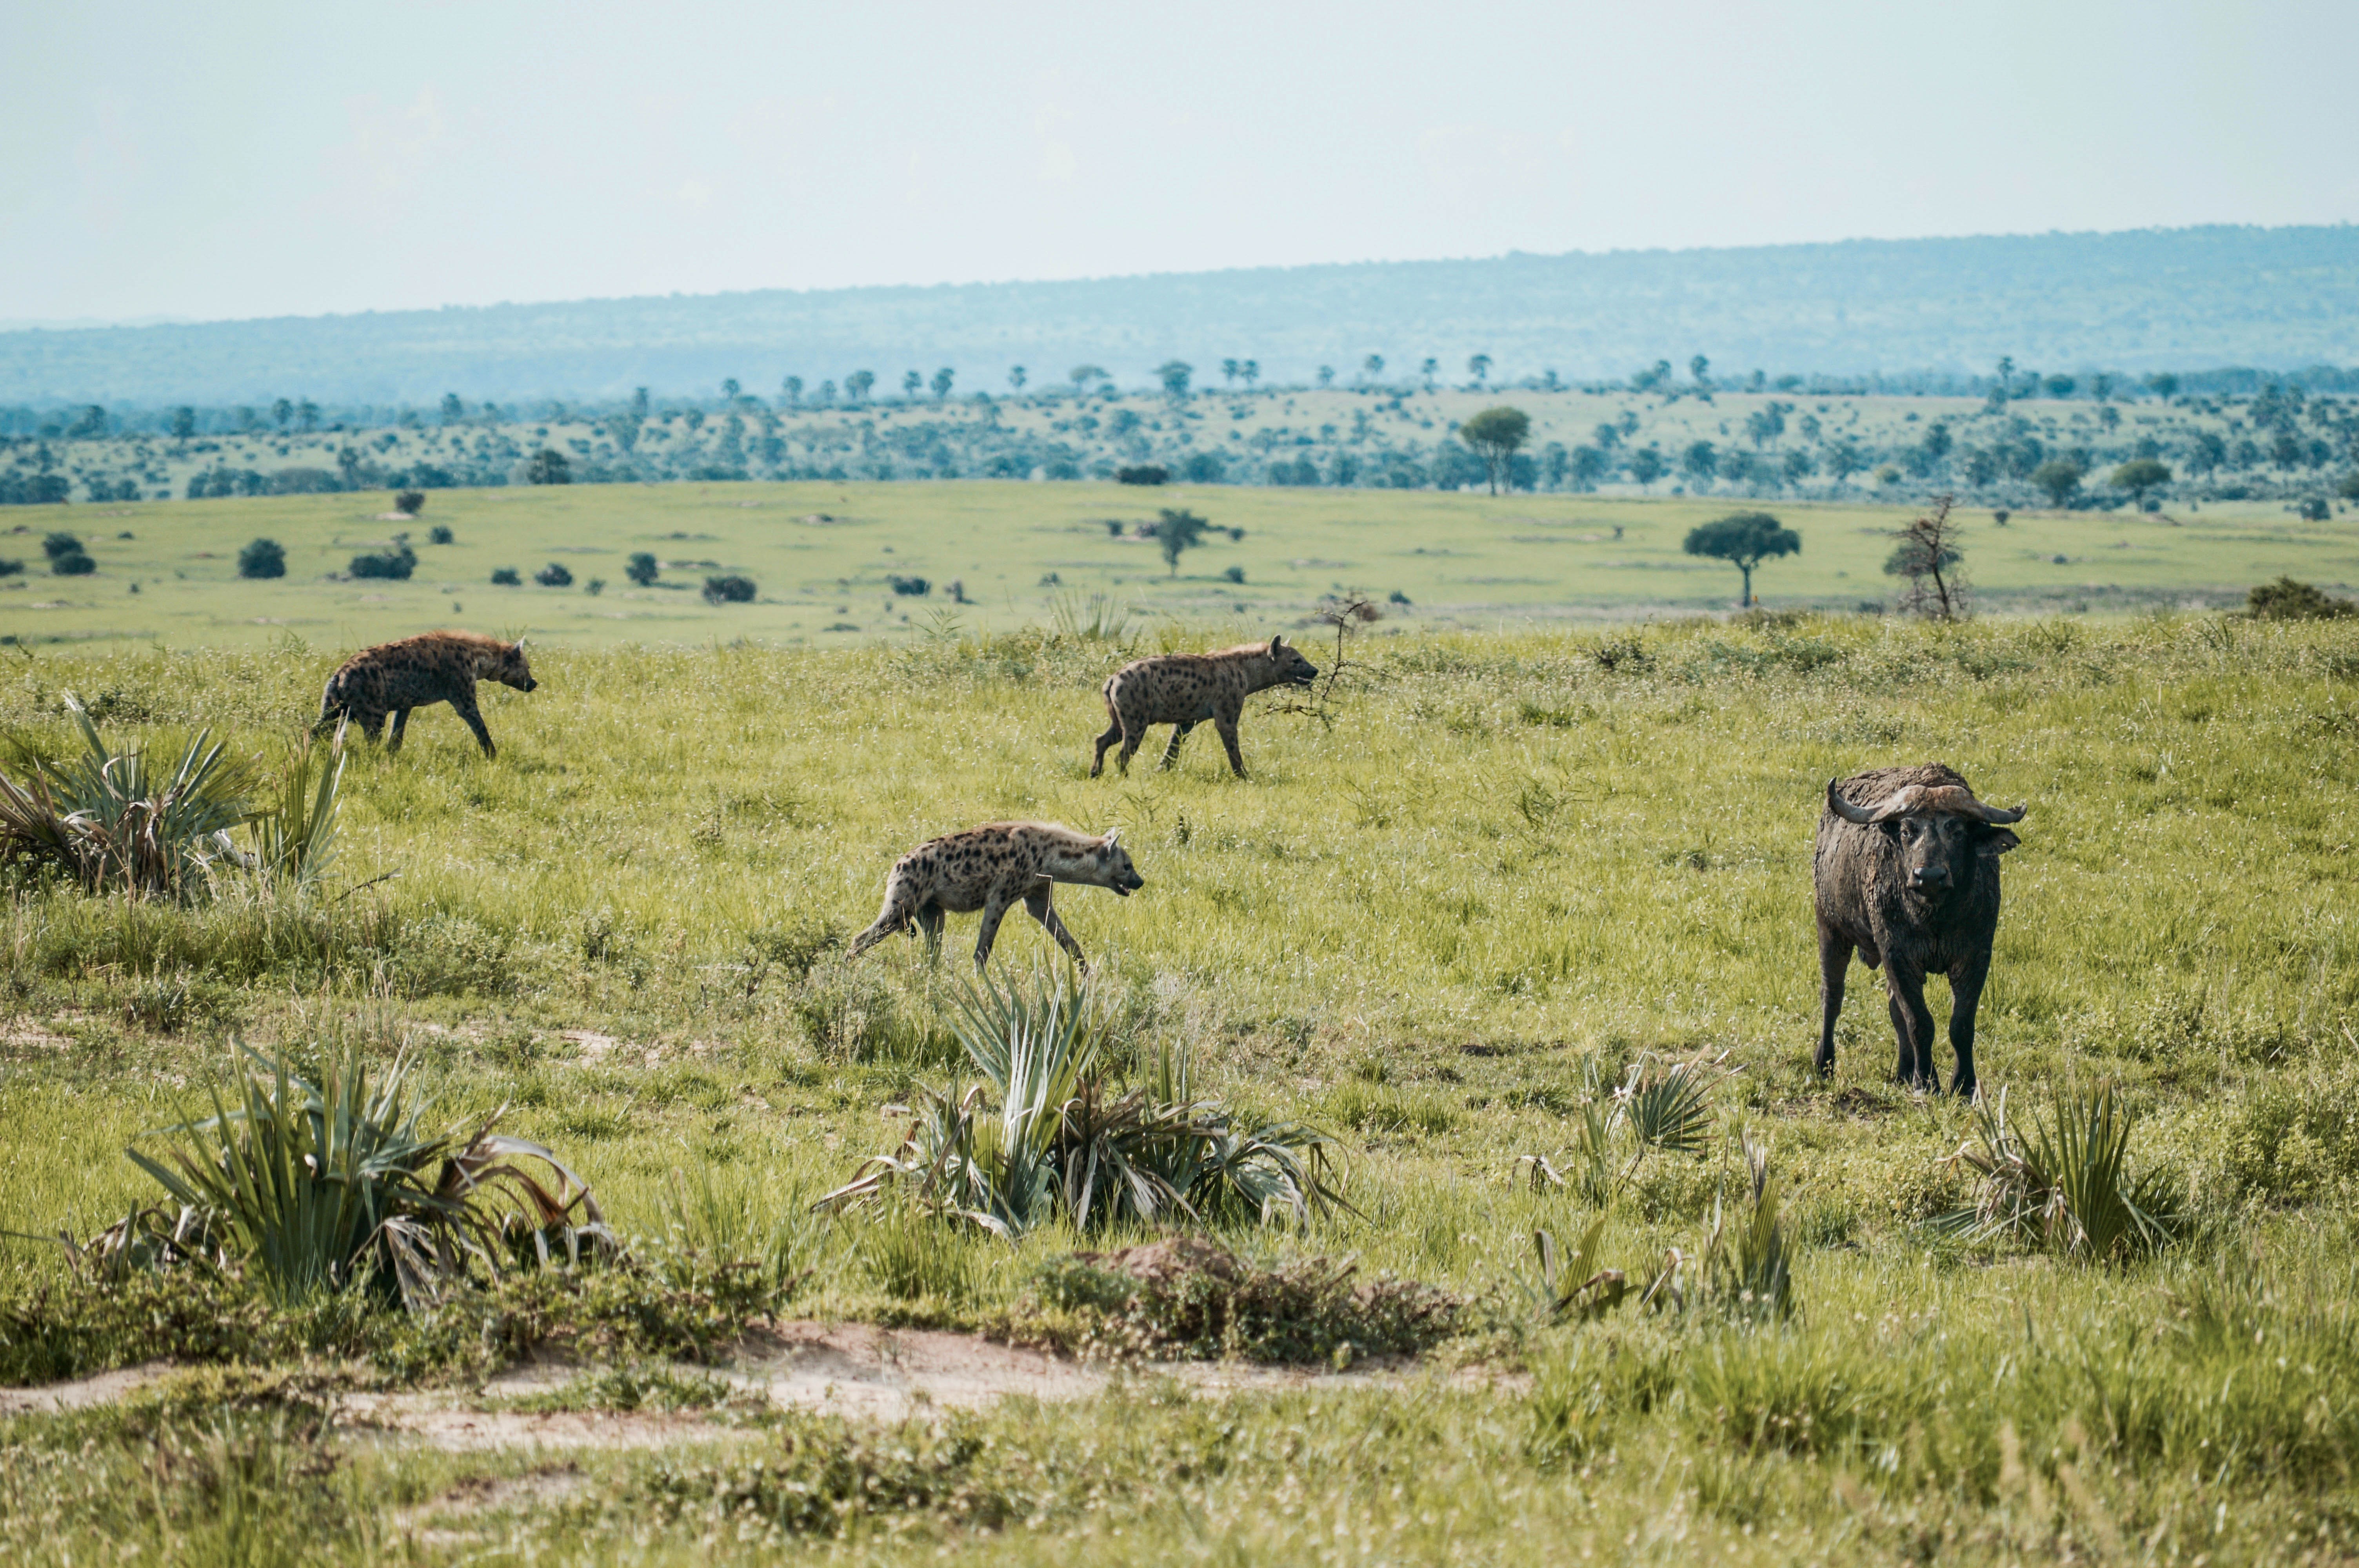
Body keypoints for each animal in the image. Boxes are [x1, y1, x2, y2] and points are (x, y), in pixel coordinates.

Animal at [1802, 764, 2028, 1094]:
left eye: (1957, 831)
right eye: (1908, 831)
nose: (1929, 876)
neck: (1934, 918)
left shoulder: (1976, 955)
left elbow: (1960, 1024)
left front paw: (1964, 1085)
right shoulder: (1897, 954)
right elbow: (1919, 1022)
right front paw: (1928, 1083)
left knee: (1893, 1008)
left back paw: (1904, 1071)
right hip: (1830, 926)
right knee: (1832, 995)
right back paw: (1824, 1063)